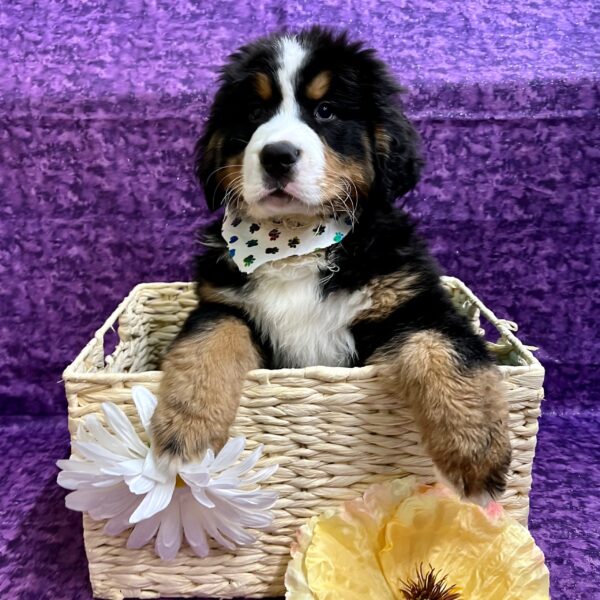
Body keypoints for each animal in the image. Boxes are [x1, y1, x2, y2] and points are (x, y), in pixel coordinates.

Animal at [150, 27, 510, 502]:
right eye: (254, 113)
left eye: (326, 111)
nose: (277, 155)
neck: (294, 241)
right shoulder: (222, 301)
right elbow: (207, 343)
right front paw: (182, 430)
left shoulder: (413, 301)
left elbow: (446, 351)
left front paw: (477, 451)